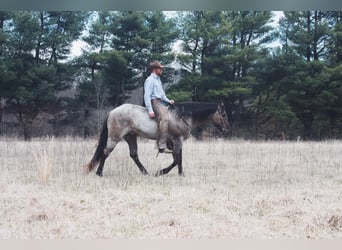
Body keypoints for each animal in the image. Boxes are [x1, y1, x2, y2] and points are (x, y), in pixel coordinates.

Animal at [84, 101, 231, 176]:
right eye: (223, 114)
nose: (227, 130)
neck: (182, 117)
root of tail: (112, 112)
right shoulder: (177, 140)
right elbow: (176, 159)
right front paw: (161, 172)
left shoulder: (174, 142)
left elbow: (178, 159)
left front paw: (180, 174)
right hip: (114, 138)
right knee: (105, 153)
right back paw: (99, 173)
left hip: (131, 137)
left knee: (133, 155)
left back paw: (145, 173)